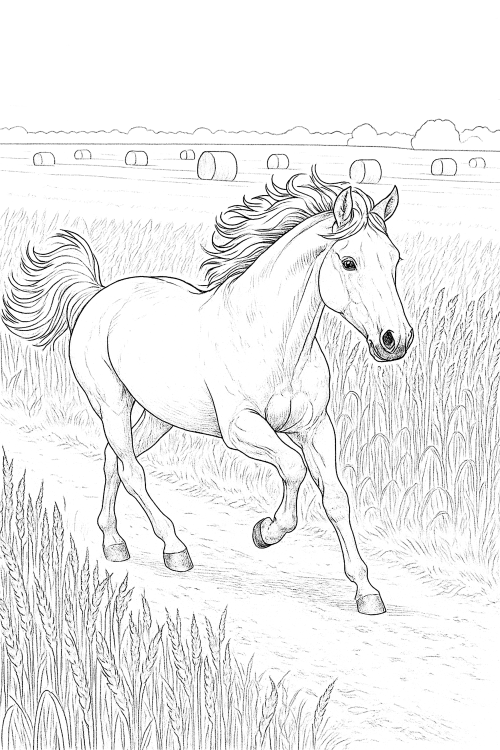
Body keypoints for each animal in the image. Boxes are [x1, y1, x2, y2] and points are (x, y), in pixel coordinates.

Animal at [2, 168, 413, 616]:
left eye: (395, 259)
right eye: (349, 262)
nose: (396, 340)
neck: (273, 341)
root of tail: (97, 295)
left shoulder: (316, 428)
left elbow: (337, 498)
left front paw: (367, 592)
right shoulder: (241, 429)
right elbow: (292, 468)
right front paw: (266, 531)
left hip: (158, 416)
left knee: (114, 461)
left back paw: (114, 543)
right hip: (111, 404)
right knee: (131, 470)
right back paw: (174, 549)